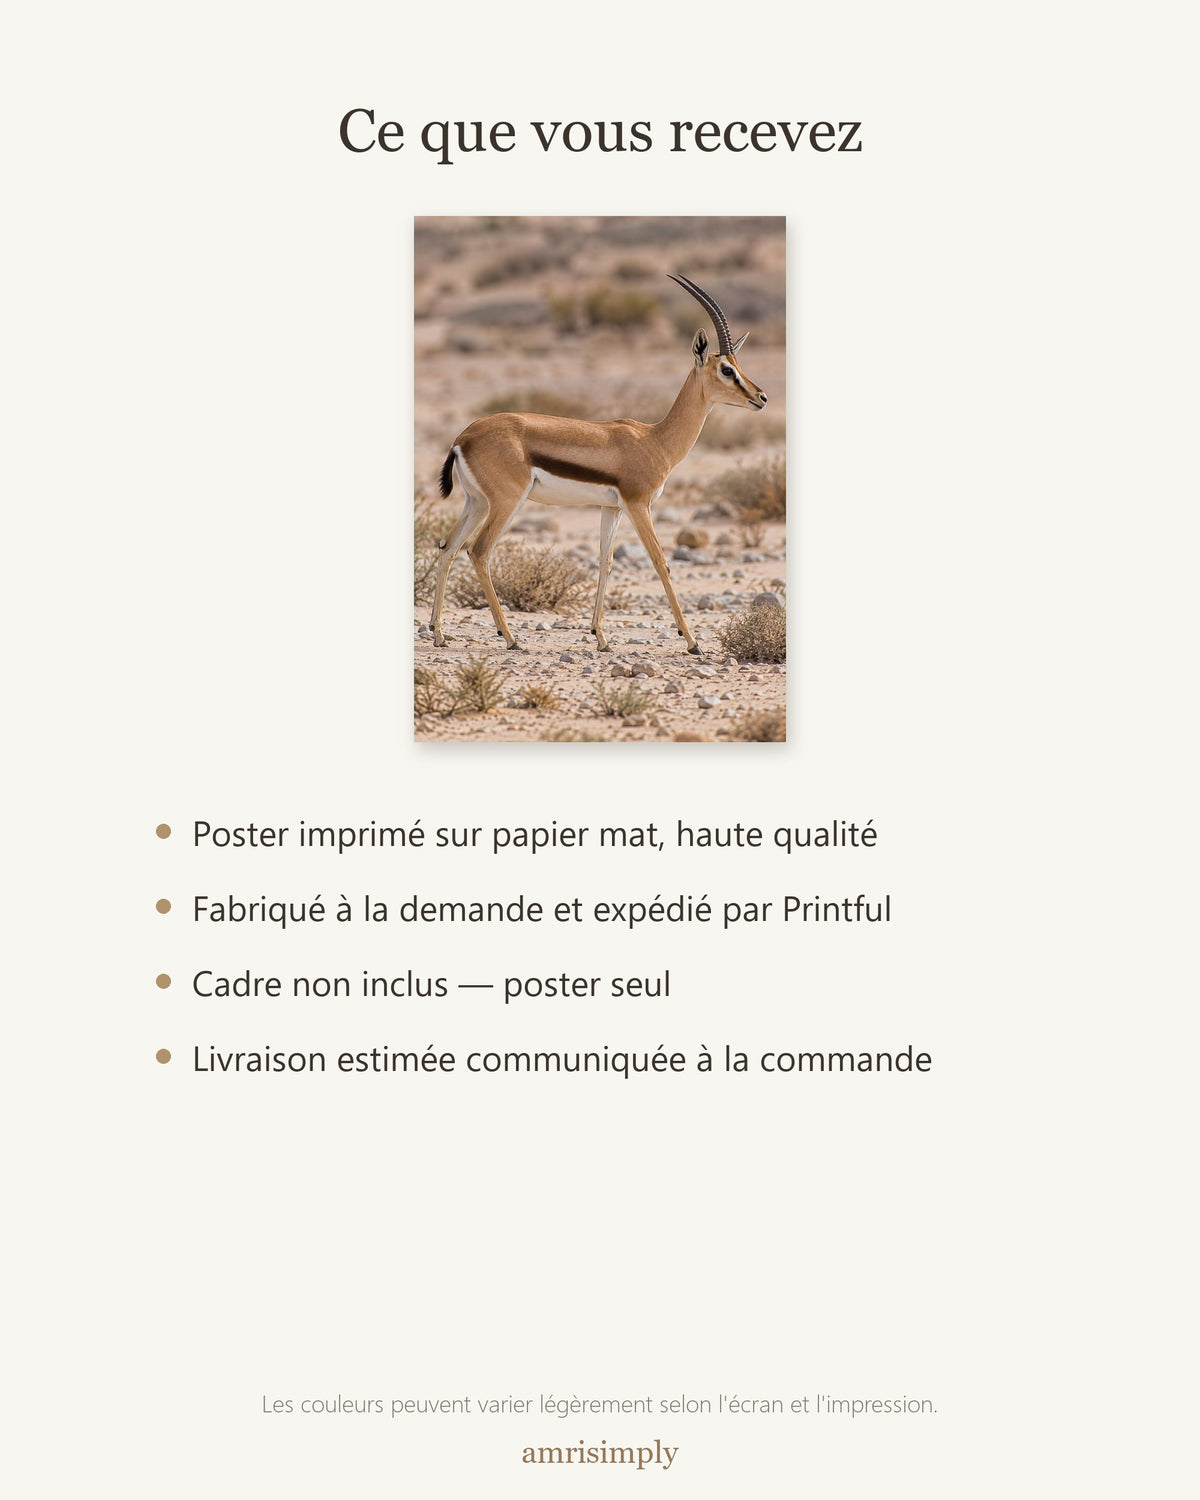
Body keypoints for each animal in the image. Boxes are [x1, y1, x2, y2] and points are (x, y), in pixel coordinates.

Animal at [429, 274, 768, 654]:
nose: (761, 397)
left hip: (476, 502)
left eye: (739, 366)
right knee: (478, 550)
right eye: (726, 369)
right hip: (505, 503)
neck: (655, 439)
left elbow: (605, 561)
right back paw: (511, 637)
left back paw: (439, 633)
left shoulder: (612, 508)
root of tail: (463, 437)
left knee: (448, 547)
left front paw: (601, 637)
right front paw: (692, 641)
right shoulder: (639, 505)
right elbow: (660, 561)